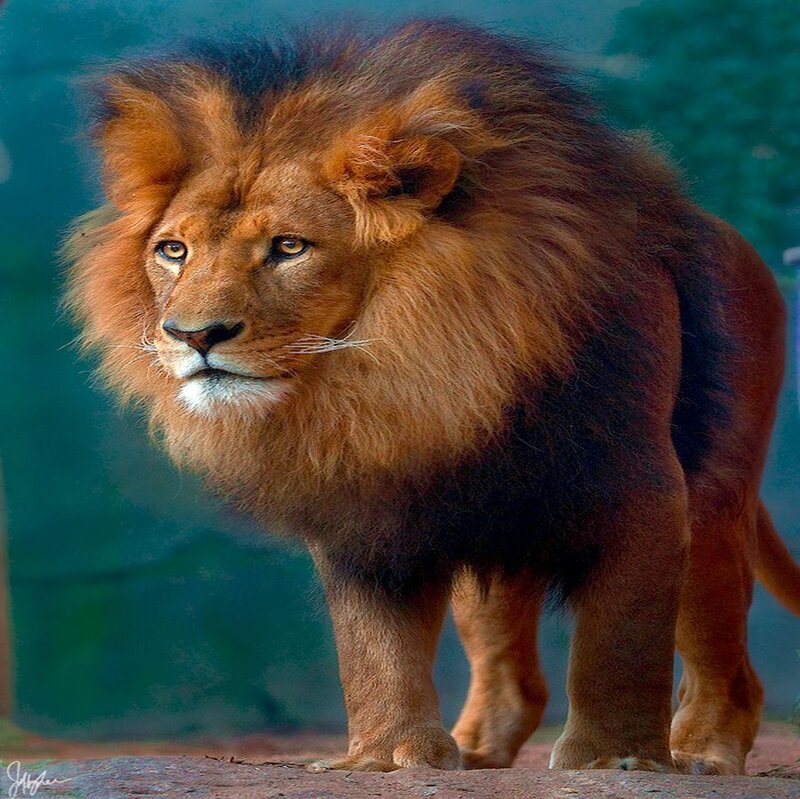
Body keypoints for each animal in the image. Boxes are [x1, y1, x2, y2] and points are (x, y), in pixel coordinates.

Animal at [64, 20, 800, 775]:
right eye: (173, 251)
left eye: (289, 247)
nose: (193, 334)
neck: (422, 376)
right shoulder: (367, 507)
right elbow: (374, 647)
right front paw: (388, 755)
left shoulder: (641, 486)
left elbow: (619, 641)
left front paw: (612, 758)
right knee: (513, 674)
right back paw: (476, 752)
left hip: (713, 503)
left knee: (731, 665)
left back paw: (703, 752)